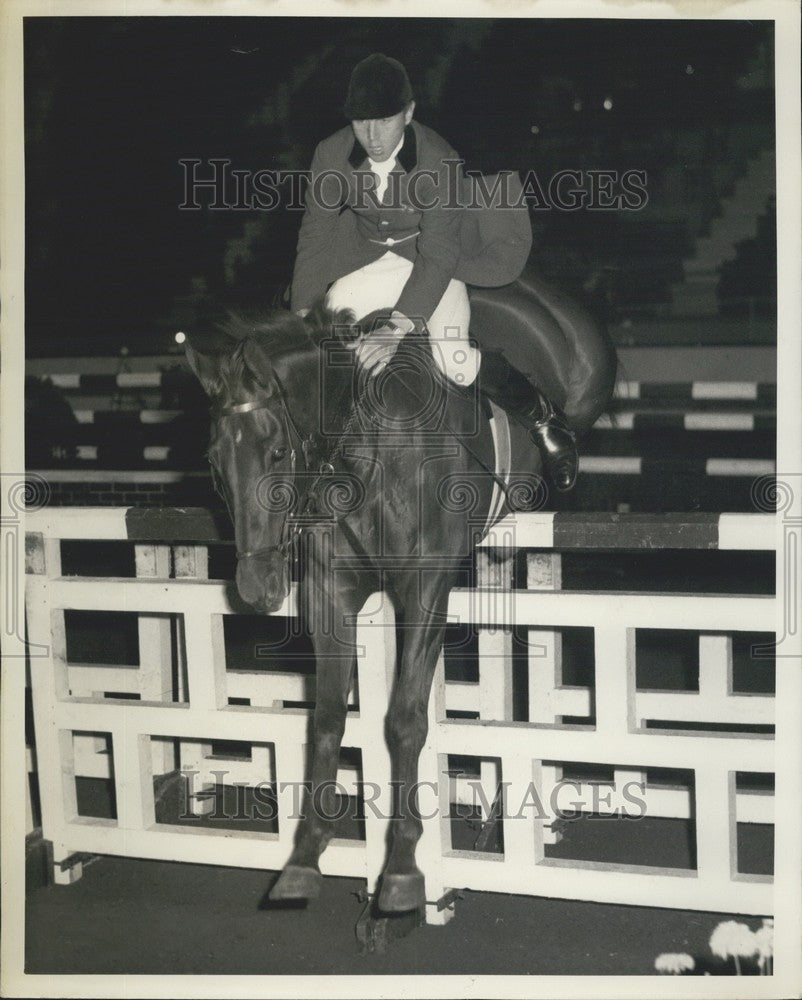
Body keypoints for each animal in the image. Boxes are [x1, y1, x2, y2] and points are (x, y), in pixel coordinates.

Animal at [184, 264, 616, 916]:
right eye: (213, 464)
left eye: (279, 452)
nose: (257, 590)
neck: (361, 457)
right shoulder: (330, 595)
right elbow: (327, 719)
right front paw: (305, 857)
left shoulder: (426, 589)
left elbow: (404, 722)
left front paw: (404, 870)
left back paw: (556, 446)